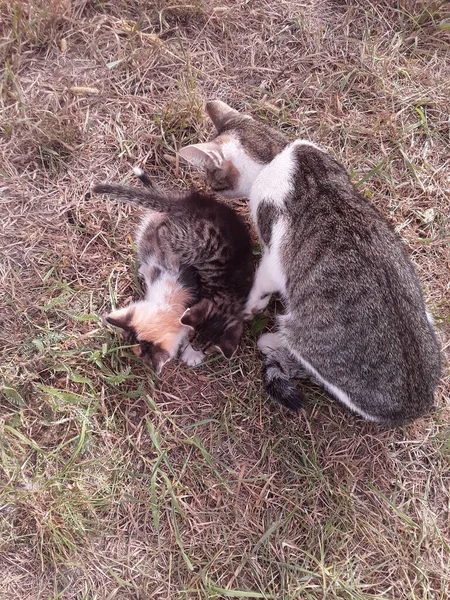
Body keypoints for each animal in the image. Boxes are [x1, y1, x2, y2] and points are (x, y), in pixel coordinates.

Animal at [92, 166, 253, 360]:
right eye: (193, 338)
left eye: (205, 348)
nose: (198, 349)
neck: (229, 299)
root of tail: (185, 205)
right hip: (190, 244)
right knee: (163, 230)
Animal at [178, 99, 440, 426]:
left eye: (214, 182)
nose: (210, 190)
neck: (276, 154)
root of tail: (416, 406)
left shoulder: (273, 256)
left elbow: (261, 286)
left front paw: (249, 308)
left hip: (306, 338)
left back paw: (271, 341)